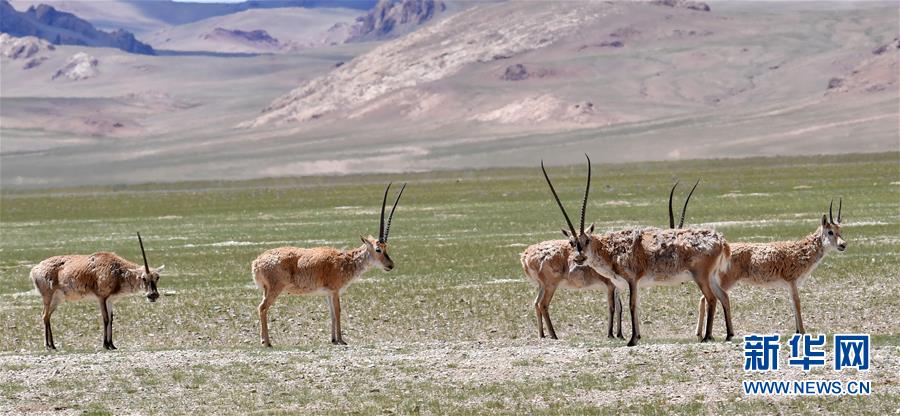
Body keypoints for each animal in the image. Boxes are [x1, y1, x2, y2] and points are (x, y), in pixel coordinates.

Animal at [29, 232, 163, 350]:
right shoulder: (101, 298)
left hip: (56, 299)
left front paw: (112, 345)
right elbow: (106, 318)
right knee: (44, 315)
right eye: (143, 278)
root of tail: (35, 269)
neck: (117, 271)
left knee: (48, 316)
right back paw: (48, 345)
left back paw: (53, 345)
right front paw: (105, 345)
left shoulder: (110, 300)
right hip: (48, 296)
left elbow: (111, 319)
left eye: (157, 277)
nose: (153, 295)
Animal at [253, 184, 408, 346]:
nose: (390, 265)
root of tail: (257, 262)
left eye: (386, 247)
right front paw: (341, 339)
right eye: (378, 249)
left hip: (267, 290)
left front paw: (333, 339)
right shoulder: (335, 291)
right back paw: (266, 342)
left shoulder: (328, 293)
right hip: (274, 289)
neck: (346, 261)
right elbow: (338, 311)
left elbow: (332, 314)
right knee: (262, 308)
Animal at [520, 154, 624, 340]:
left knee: (536, 303)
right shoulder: (610, 286)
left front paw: (620, 334)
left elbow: (619, 308)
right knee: (543, 304)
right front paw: (610, 334)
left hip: (541, 285)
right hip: (550, 285)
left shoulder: (617, 287)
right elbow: (612, 307)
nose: (579, 258)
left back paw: (542, 334)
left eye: (587, 240)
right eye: (571, 243)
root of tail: (526, 255)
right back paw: (553, 335)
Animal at [540, 158, 732, 346]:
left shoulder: (632, 280)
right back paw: (729, 335)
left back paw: (707, 336)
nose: (579, 257)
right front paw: (637, 336)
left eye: (586, 240)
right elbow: (636, 306)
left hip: (701, 276)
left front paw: (632, 340)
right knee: (723, 296)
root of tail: (720, 241)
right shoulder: (632, 284)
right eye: (572, 242)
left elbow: (632, 305)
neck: (611, 249)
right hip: (711, 277)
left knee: (711, 299)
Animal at [696, 198, 852, 338]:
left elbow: (793, 304)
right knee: (708, 297)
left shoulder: (790, 285)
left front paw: (797, 331)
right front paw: (802, 331)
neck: (802, 251)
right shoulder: (792, 281)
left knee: (706, 298)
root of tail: (723, 250)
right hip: (726, 281)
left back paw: (701, 334)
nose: (843, 245)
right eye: (830, 231)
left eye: (841, 230)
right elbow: (797, 303)